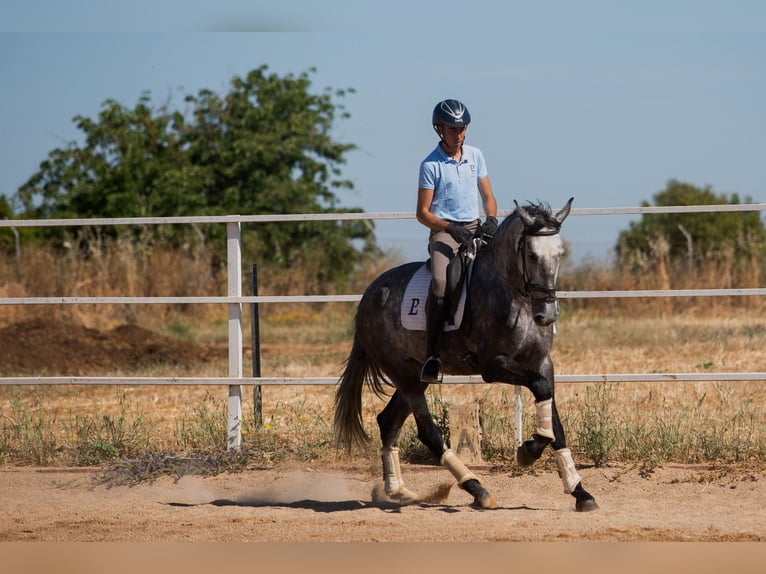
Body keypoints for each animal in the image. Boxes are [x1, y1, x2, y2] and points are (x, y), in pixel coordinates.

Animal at [334, 198, 600, 512]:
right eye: (532, 255)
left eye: (559, 254)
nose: (546, 315)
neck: (515, 296)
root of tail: (369, 295)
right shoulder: (493, 365)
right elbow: (541, 389)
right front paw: (528, 451)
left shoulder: (542, 363)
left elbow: (554, 420)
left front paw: (579, 492)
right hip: (405, 375)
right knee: (428, 432)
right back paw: (477, 489)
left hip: (412, 374)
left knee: (388, 422)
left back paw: (398, 490)